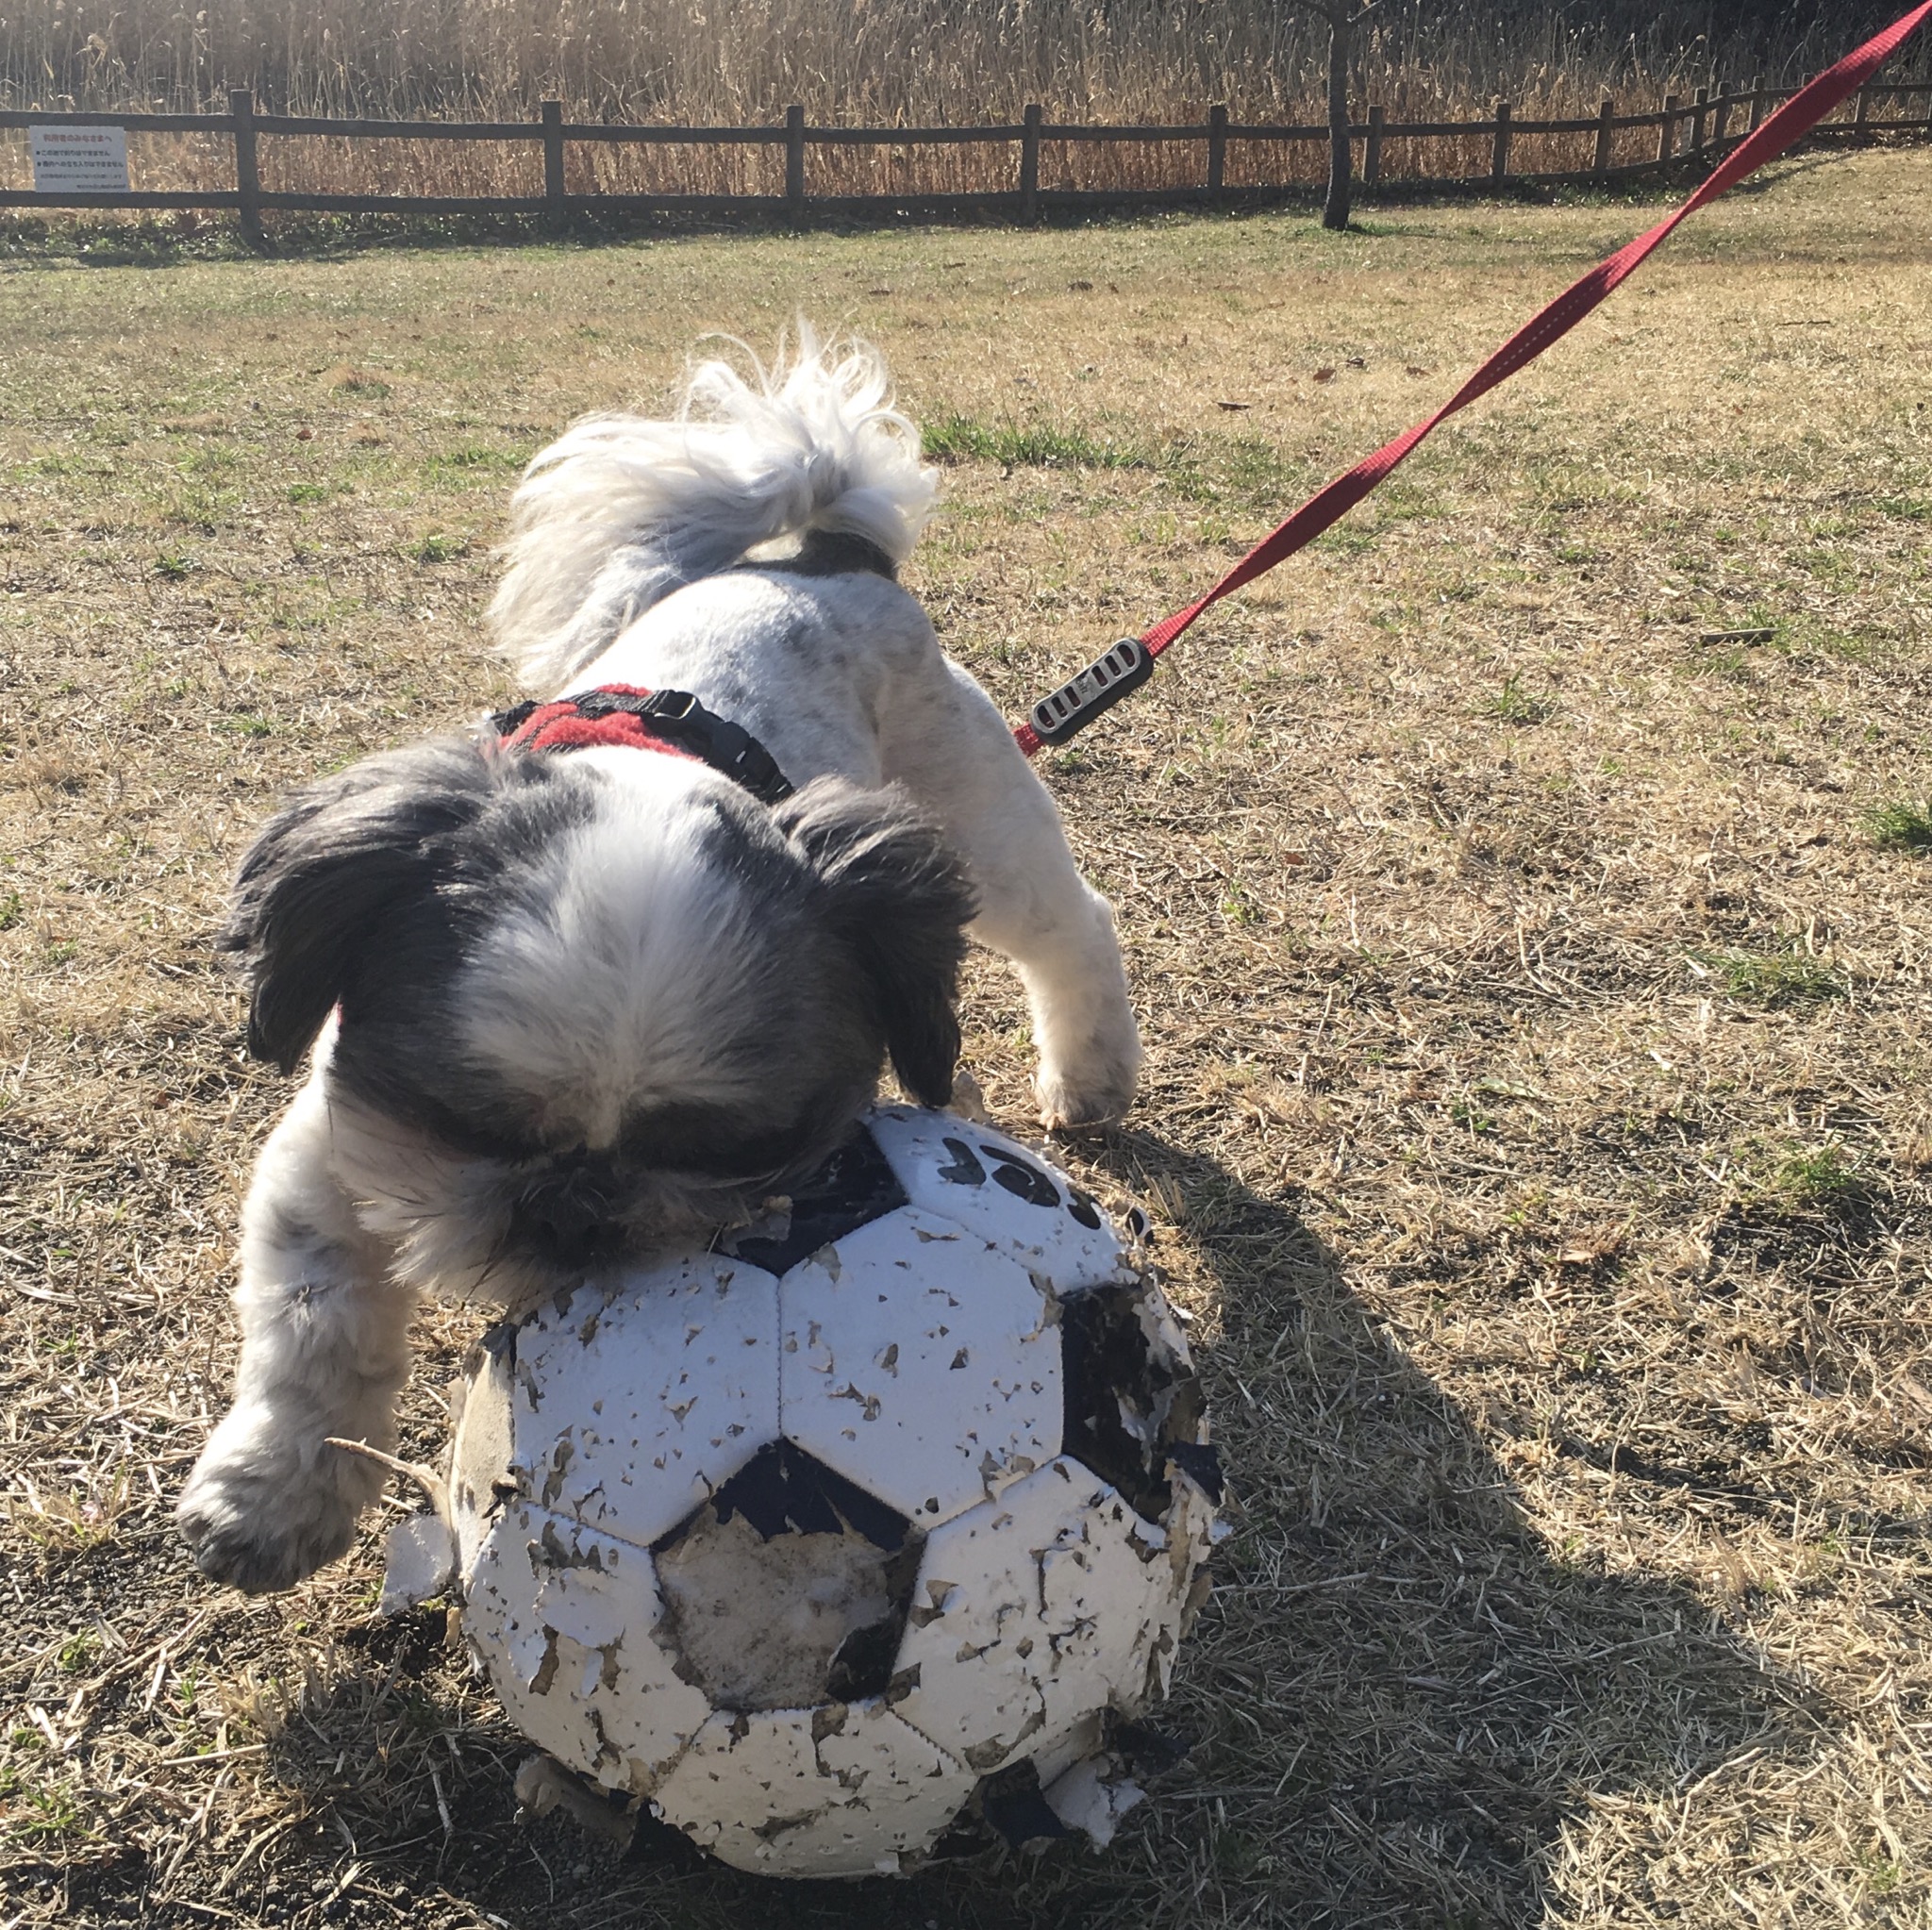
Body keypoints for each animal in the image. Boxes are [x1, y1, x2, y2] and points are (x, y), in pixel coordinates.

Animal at [176, 331, 1142, 1594]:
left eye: (728, 1149)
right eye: (464, 1124)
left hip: (980, 821)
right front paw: (274, 1493)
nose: (575, 1209)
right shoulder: (334, 1147)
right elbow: (314, 1327)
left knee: (1071, 926)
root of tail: (830, 558)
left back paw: (1090, 1072)